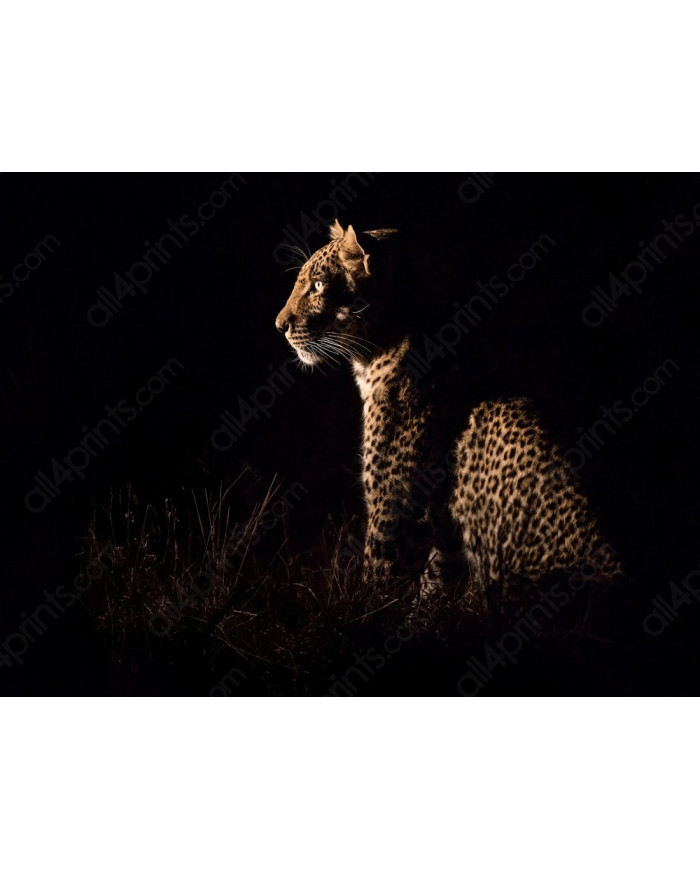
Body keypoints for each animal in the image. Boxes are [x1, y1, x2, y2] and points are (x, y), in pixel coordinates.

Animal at [275, 219, 622, 604]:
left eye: (319, 285)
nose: (279, 326)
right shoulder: (442, 534)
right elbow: (433, 587)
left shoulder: (395, 511)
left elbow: (377, 586)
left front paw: (361, 614)